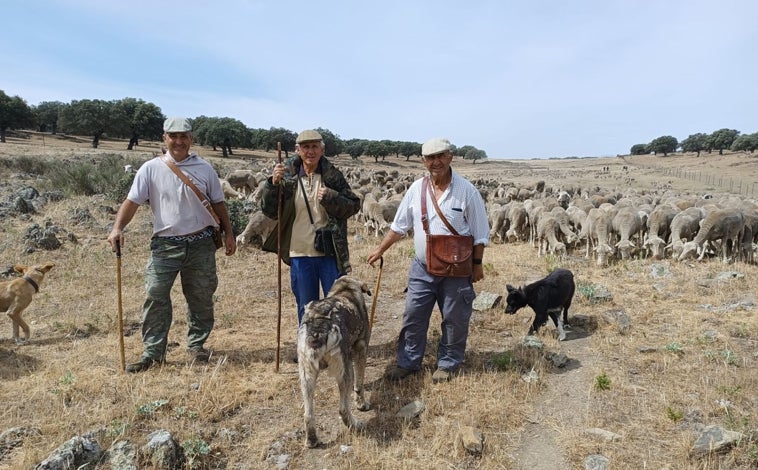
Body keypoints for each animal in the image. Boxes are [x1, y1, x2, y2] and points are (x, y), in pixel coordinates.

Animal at [302, 276, 376, 448]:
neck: (345, 289)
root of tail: (317, 330)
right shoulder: (361, 349)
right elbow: (359, 385)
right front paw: (362, 405)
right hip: (345, 372)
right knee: (343, 409)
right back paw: (355, 424)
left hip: (306, 377)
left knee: (308, 414)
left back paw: (312, 440)